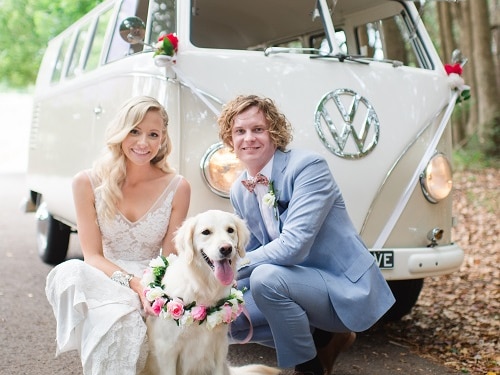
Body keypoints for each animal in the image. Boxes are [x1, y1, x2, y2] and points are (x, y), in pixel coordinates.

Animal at [141, 210, 282, 374]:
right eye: (206, 232)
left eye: (230, 230)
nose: (226, 248)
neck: (203, 287)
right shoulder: (167, 350)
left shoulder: (220, 345)